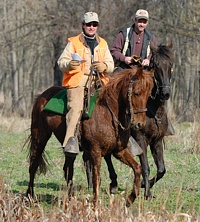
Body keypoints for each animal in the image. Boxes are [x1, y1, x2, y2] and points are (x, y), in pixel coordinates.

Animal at [25, 66, 154, 208]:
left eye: (148, 95)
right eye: (136, 93)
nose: (139, 124)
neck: (108, 114)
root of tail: (41, 96)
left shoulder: (119, 151)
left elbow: (137, 168)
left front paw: (130, 199)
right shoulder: (95, 152)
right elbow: (96, 178)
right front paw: (95, 205)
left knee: (67, 170)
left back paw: (70, 199)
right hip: (40, 137)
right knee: (33, 166)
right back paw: (29, 197)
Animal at [101, 43, 175, 199]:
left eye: (170, 64)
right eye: (155, 65)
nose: (165, 93)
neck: (153, 109)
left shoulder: (157, 140)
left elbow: (161, 169)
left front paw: (144, 185)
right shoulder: (141, 139)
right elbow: (146, 167)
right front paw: (147, 192)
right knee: (107, 156)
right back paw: (113, 184)